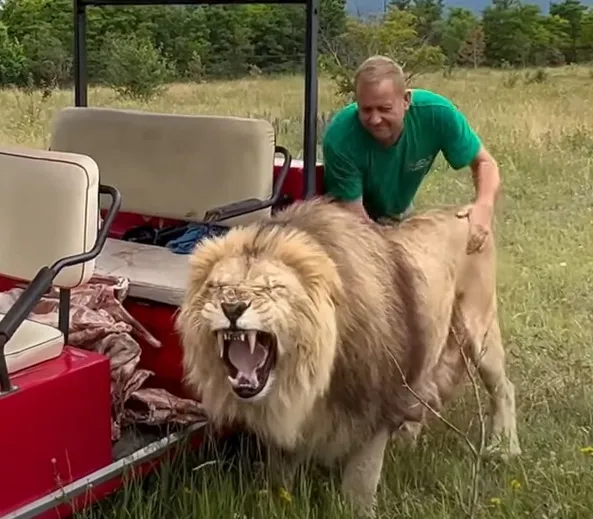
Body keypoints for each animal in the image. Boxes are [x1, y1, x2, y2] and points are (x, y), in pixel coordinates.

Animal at [176, 197, 520, 516]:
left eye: (272, 289)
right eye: (217, 287)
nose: (232, 308)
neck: (307, 378)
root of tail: (460, 211)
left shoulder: (374, 408)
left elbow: (359, 484)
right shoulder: (284, 429)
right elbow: (279, 482)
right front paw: (274, 505)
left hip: (480, 328)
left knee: (504, 388)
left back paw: (504, 448)